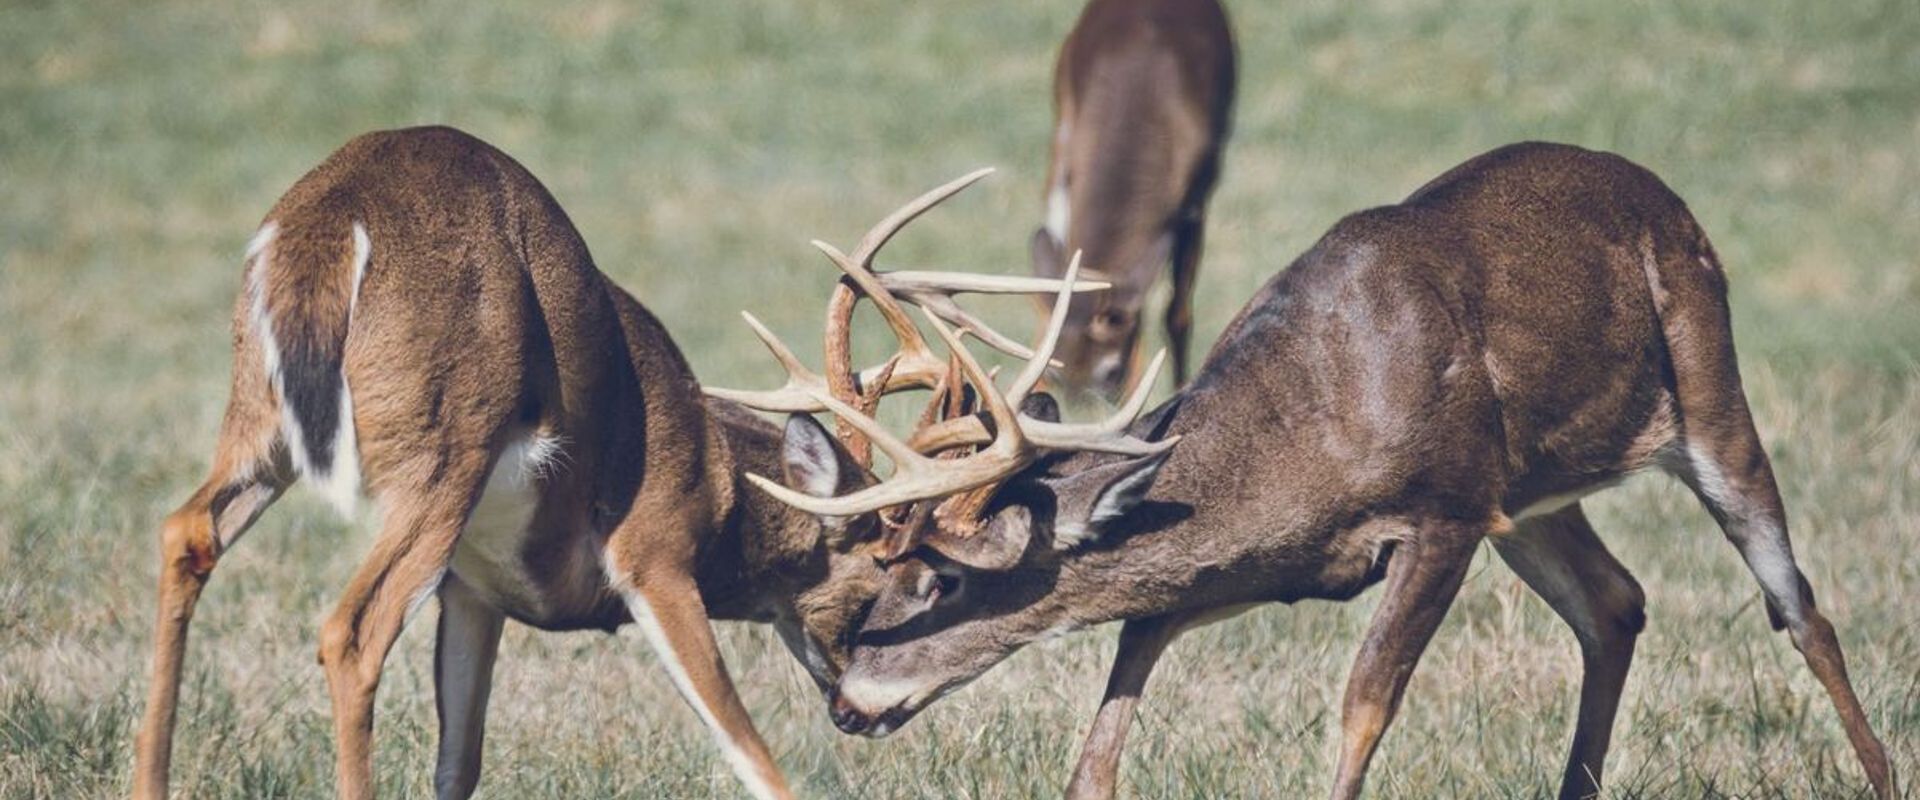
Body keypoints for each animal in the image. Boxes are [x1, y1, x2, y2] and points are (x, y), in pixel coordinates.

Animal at [129, 126, 1085, 800]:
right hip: (449, 444)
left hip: (260, 420)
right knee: (352, 630)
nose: (860, 711)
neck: (719, 480)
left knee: (186, 529)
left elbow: (457, 765)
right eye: (915, 577)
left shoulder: (473, 588)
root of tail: (328, 226)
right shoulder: (653, 551)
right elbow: (753, 755)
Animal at [742, 143, 1898, 799]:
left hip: (1705, 385)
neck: (1309, 434)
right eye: (882, 569)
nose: (846, 703)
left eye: (941, 578)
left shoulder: (1443, 510)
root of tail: (1672, 200)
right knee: (1617, 602)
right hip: (1530, 499)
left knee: (1797, 604)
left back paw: (1881, 774)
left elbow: (1361, 707)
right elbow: (1104, 733)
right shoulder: (1262, 565)